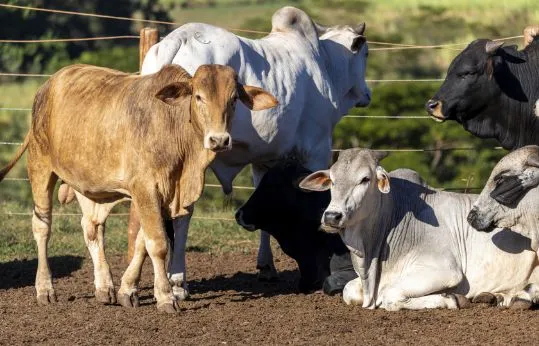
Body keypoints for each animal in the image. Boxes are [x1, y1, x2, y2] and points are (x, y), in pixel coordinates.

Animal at [0, 62, 278, 314]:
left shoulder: (162, 194)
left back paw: (105, 287)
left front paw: (127, 290)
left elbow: (142, 243)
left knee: (92, 228)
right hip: (40, 166)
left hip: (89, 185)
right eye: (199, 96)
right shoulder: (146, 188)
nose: (219, 140)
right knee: (42, 227)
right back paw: (45, 288)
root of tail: (49, 84)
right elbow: (157, 244)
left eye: (233, 99)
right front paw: (165, 297)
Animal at [300, 149, 539, 310]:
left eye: (365, 179)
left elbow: (390, 295)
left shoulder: (445, 270)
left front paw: (451, 299)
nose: (332, 216)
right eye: (332, 180)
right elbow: (348, 291)